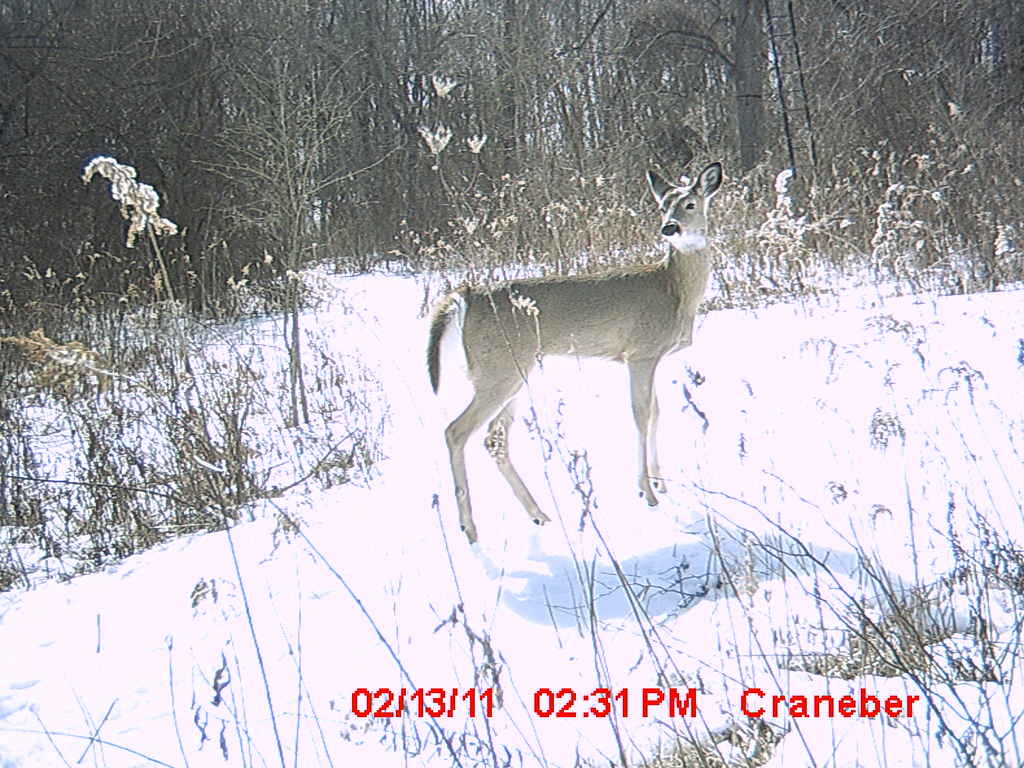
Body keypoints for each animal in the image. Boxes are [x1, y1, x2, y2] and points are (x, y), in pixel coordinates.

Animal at [426, 162, 723, 543]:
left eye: (689, 204)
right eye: (662, 206)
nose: (669, 227)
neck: (674, 289)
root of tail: (465, 296)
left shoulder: (652, 356)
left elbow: (657, 411)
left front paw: (661, 482)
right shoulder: (639, 352)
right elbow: (641, 414)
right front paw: (647, 492)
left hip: (512, 371)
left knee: (494, 438)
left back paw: (539, 515)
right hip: (497, 370)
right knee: (456, 431)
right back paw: (470, 528)